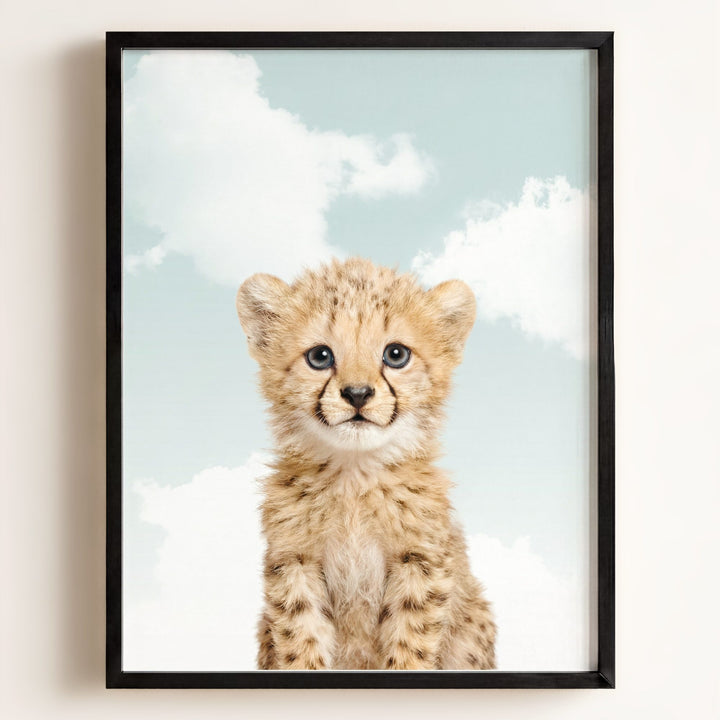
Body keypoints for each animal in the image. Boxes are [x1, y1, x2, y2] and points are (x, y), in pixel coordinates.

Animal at [236, 257, 496, 670]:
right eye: (320, 356)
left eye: (396, 355)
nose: (357, 394)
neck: (354, 475)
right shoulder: (295, 562)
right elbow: (301, 640)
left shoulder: (419, 562)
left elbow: (409, 644)